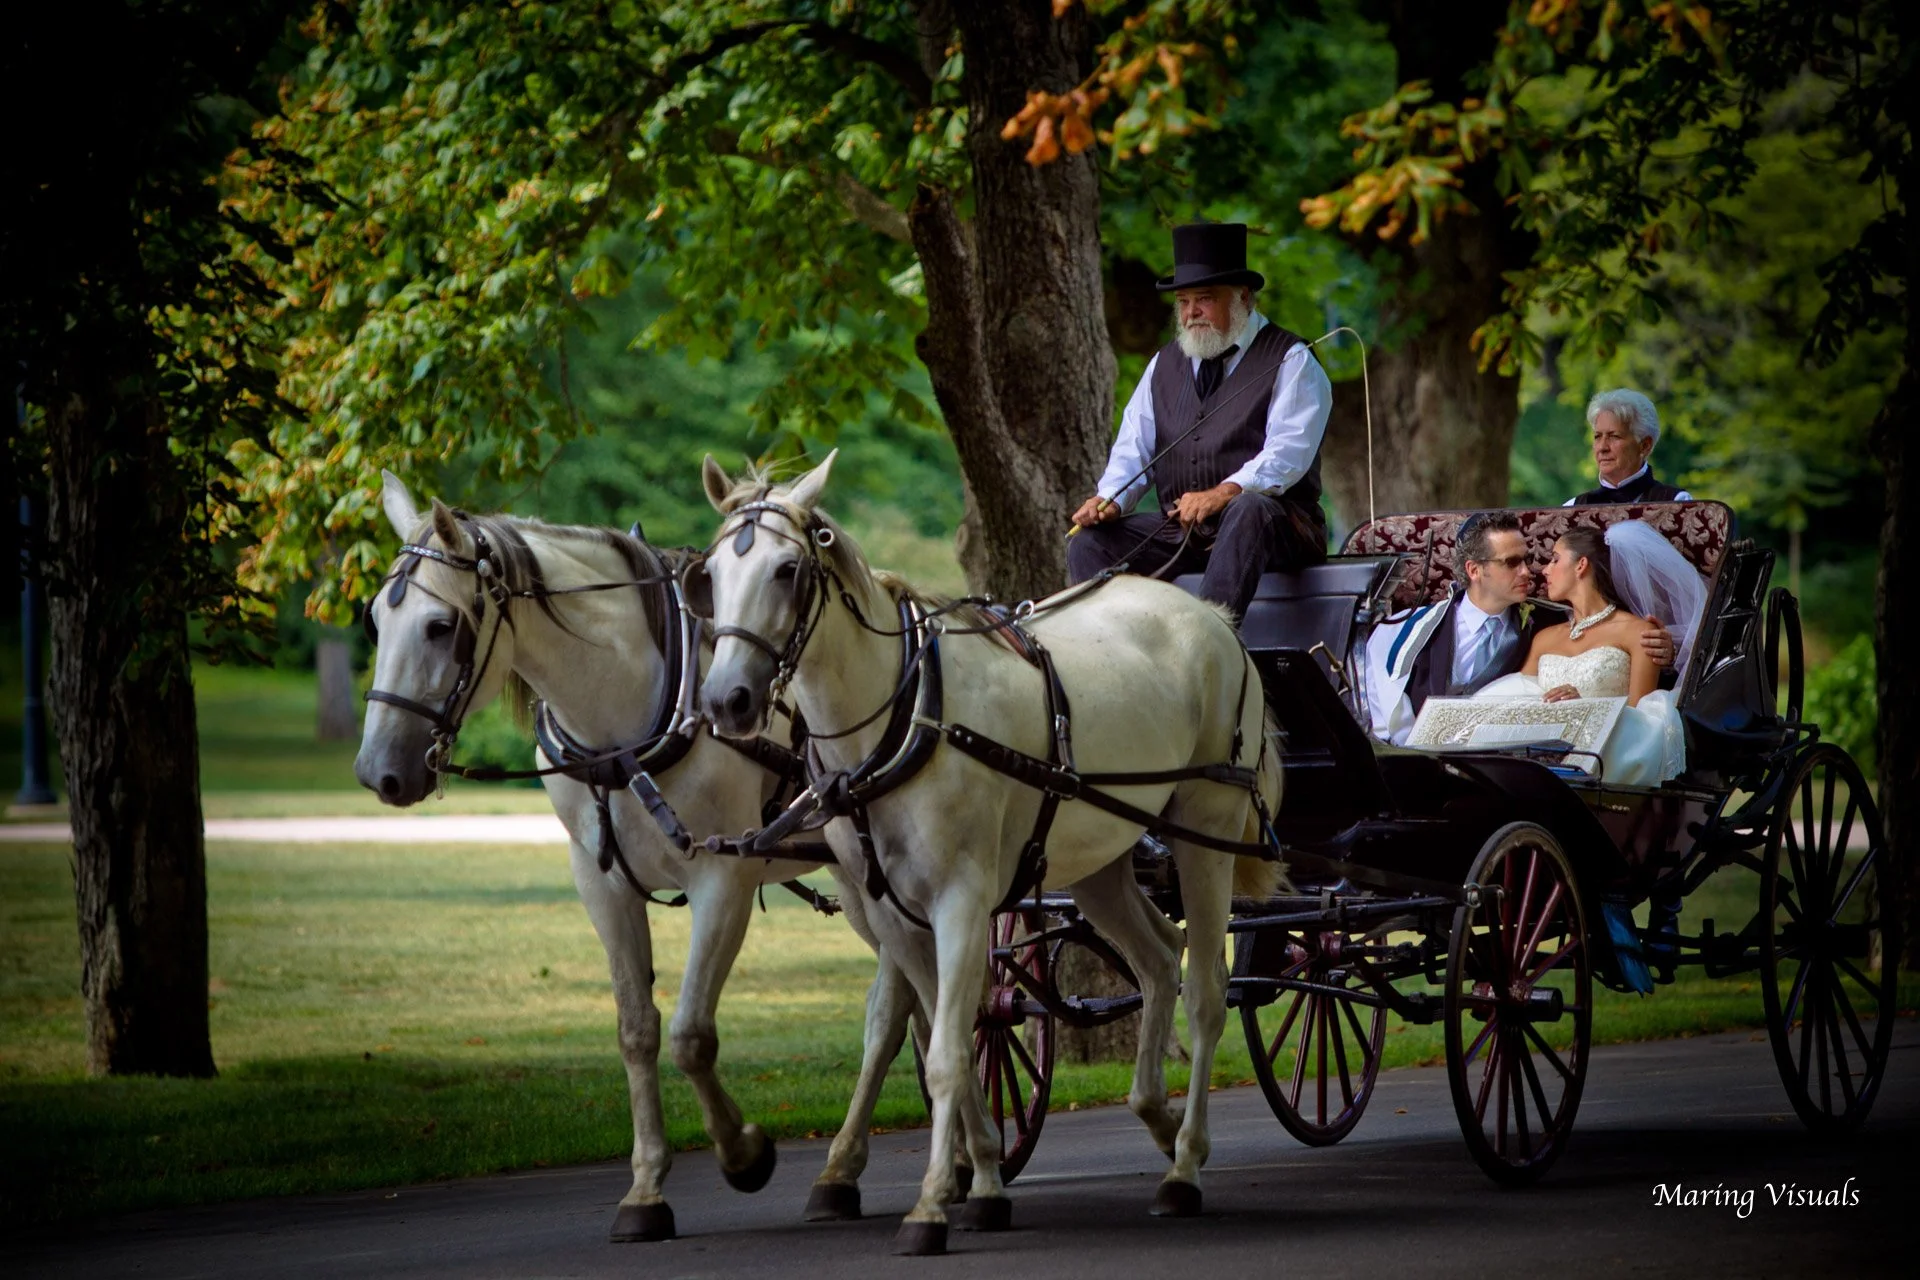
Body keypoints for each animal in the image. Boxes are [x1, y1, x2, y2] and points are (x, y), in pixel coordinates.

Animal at [352, 471, 924, 1240]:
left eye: (441, 626)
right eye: (375, 623)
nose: (378, 772)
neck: (625, 721)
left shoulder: (722, 879)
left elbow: (690, 1035)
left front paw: (744, 1154)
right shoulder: (601, 884)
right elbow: (637, 1030)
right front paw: (647, 1189)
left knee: (888, 1011)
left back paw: (845, 1167)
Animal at [690, 451, 1284, 1255]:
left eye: (787, 569)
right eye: (711, 573)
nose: (728, 701)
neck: (905, 716)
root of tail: (1213, 618)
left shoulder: (962, 901)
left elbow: (945, 1053)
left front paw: (931, 1206)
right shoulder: (893, 912)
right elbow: (951, 1040)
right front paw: (984, 1182)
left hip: (1206, 831)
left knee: (1207, 993)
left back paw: (1185, 1166)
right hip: (1099, 860)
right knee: (1160, 958)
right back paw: (1156, 1117)